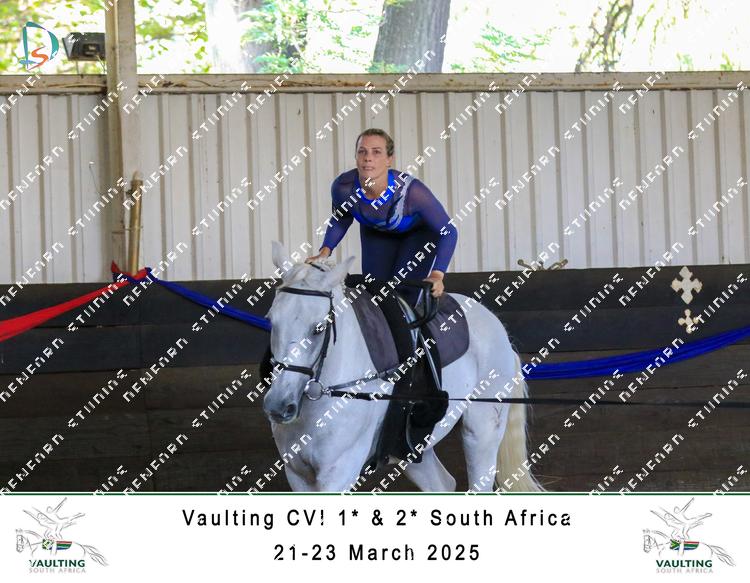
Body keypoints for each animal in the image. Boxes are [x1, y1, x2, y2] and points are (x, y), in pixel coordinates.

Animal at [261, 241, 544, 492]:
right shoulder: (298, 474)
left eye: (319, 328)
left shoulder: (339, 472)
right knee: (443, 484)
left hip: (482, 430)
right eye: (271, 320)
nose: (278, 405)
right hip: (413, 446)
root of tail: (497, 327)